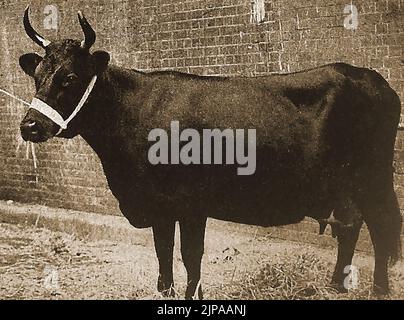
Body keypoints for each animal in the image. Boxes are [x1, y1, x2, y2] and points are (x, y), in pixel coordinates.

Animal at [19, 6, 400, 298]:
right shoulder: (160, 206)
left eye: (69, 78)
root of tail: (372, 78)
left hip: (374, 178)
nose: (30, 126)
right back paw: (336, 285)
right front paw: (167, 292)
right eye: (37, 76)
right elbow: (164, 252)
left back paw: (378, 289)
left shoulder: (190, 203)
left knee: (381, 226)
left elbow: (191, 255)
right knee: (351, 225)